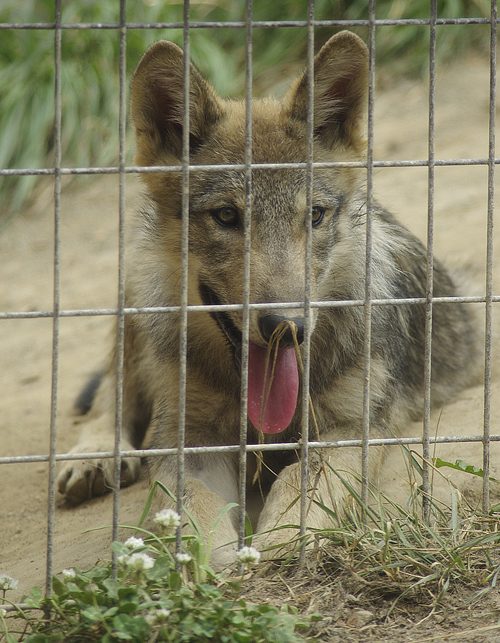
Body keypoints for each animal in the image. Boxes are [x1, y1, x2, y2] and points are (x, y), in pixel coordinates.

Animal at [57, 30, 480, 564]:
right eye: (226, 216)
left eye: (315, 216)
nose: (287, 327)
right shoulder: (188, 438)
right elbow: (195, 509)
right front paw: (219, 569)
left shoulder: (353, 427)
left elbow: (301, 483)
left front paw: (279, 549)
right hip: (135, 289)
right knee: (113, 389)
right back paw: (93, 455)